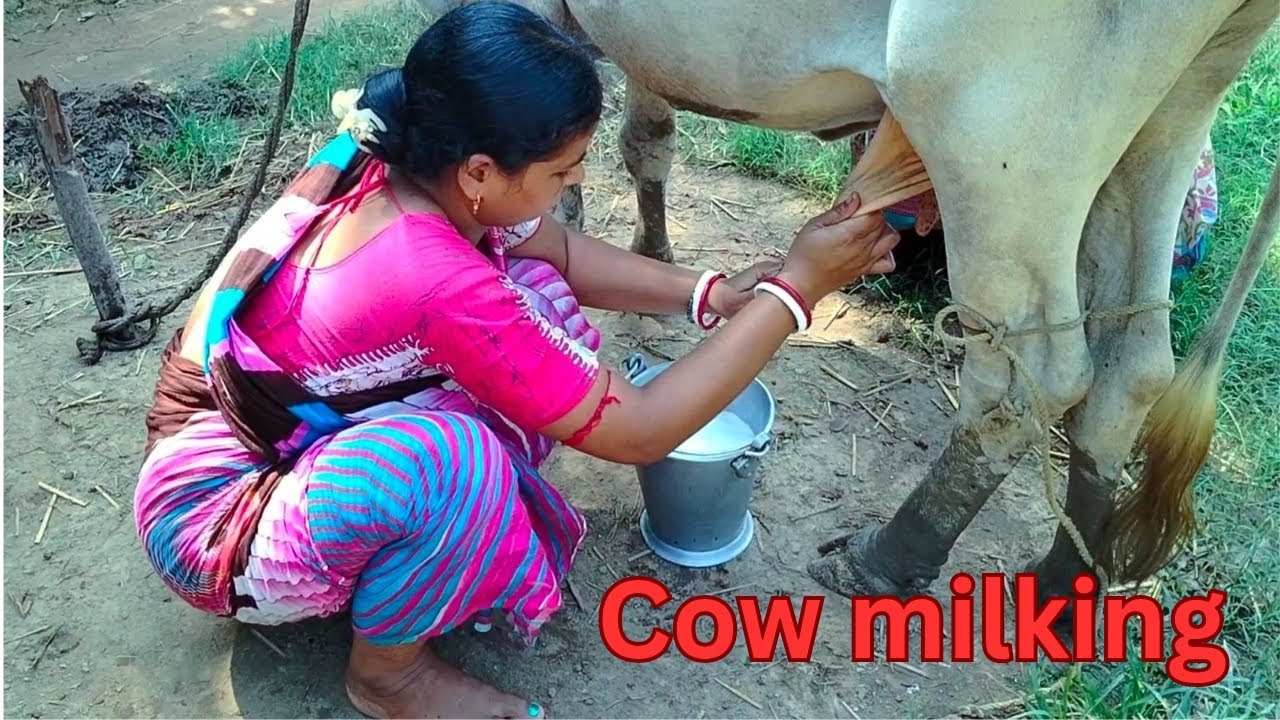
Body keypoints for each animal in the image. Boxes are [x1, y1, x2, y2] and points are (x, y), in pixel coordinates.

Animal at [421, 0, 1280, 638]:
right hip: (1168, 116)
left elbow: (590, 160)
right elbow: (645, 138)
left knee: (1030, 379)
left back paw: (885, 559)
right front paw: (650, 253)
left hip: (993, 135)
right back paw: (1057, 592)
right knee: (1131, 367)